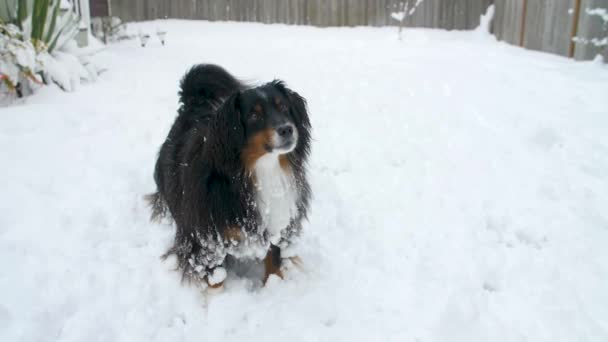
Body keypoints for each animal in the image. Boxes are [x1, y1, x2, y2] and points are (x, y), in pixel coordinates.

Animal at [145, 63, 312, 286]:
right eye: (254, 115)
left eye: (283, 107)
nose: (286, 129)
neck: (260, 169)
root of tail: (194, 104)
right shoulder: (204, 238)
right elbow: (214, 277)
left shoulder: (278, 223)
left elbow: (274, 261)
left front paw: (274, 285)